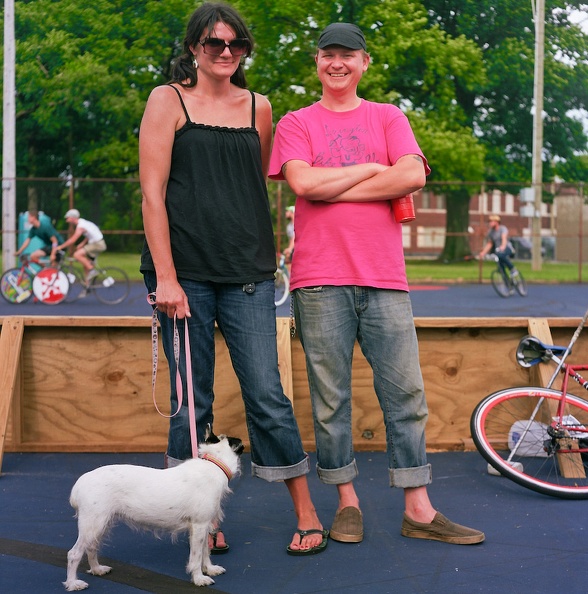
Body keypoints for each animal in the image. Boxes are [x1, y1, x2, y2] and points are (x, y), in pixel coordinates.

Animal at [65, 428, 246, 588]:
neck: (214, 464)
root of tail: (79, 484)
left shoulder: (204, 526)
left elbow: (205, 552)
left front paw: (209, 569)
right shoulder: (199, 526)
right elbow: (196, 556)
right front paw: (199, 578)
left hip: (100, 524)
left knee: (91, 547)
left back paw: (97, 569)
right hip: (93, 524)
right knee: (74, 554)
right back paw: (73, 583)